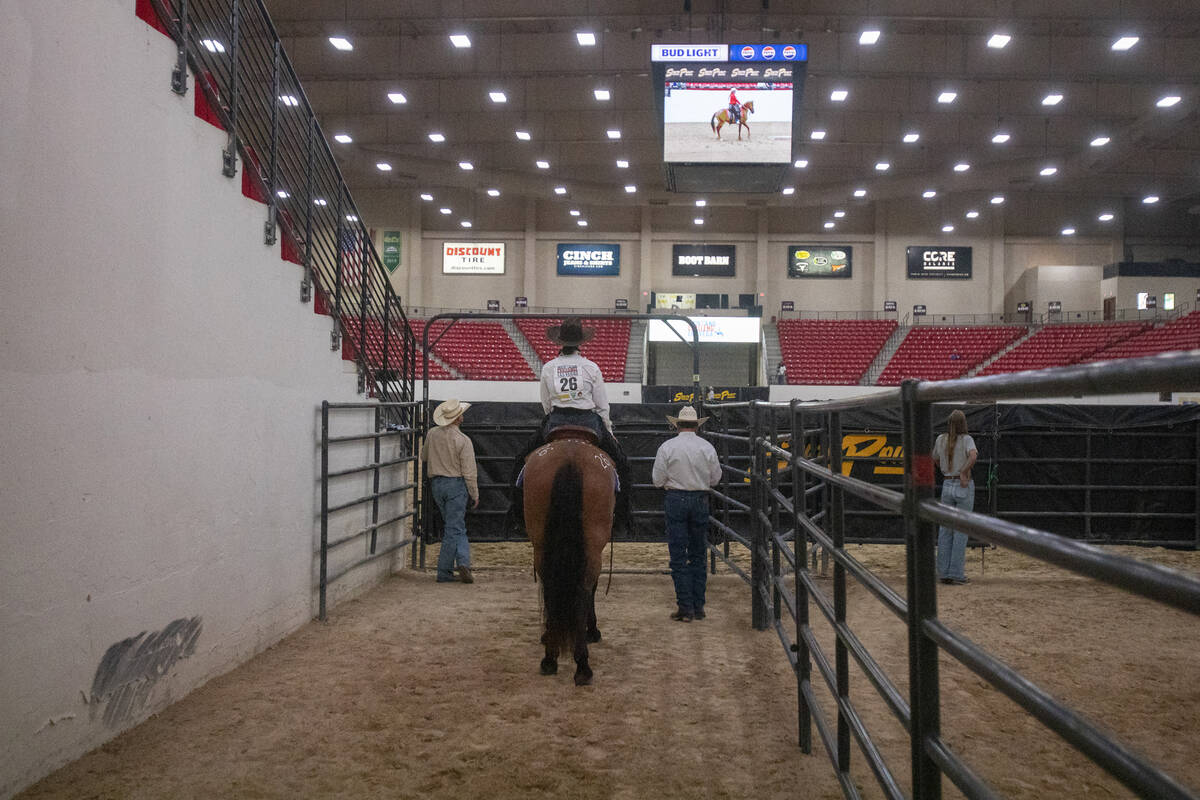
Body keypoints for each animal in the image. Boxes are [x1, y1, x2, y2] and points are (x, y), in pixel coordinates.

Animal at [520, 429, 614, 686]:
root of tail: (570, 458)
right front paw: (593, 631)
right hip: (592, 546)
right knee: (583, 591)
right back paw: (582, 666)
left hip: (541, 544)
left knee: (551, 587)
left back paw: (549, 657)